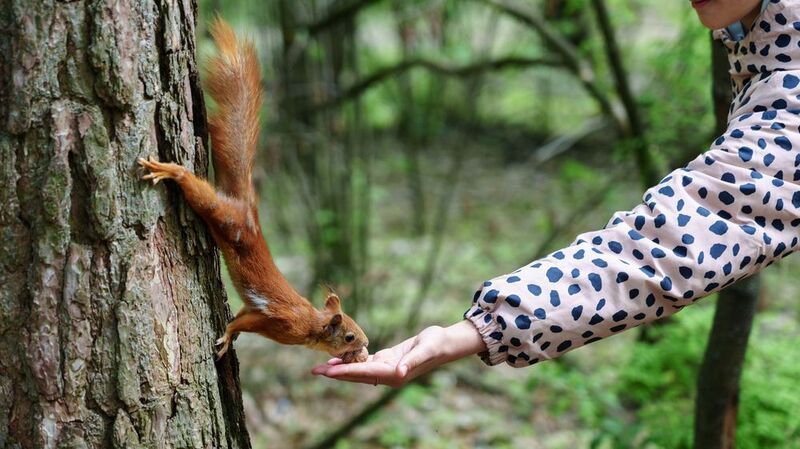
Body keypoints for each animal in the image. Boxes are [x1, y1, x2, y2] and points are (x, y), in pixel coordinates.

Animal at [138, 18, 369, 363]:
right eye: (349, 335)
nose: (367, 344)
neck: (311, 323)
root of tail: (246, 207)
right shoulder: (275, 322)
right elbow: (242, 323)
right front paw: (227, 337)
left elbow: (240, 315)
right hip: (220, 212)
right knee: (193, 186)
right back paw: (169, 170)